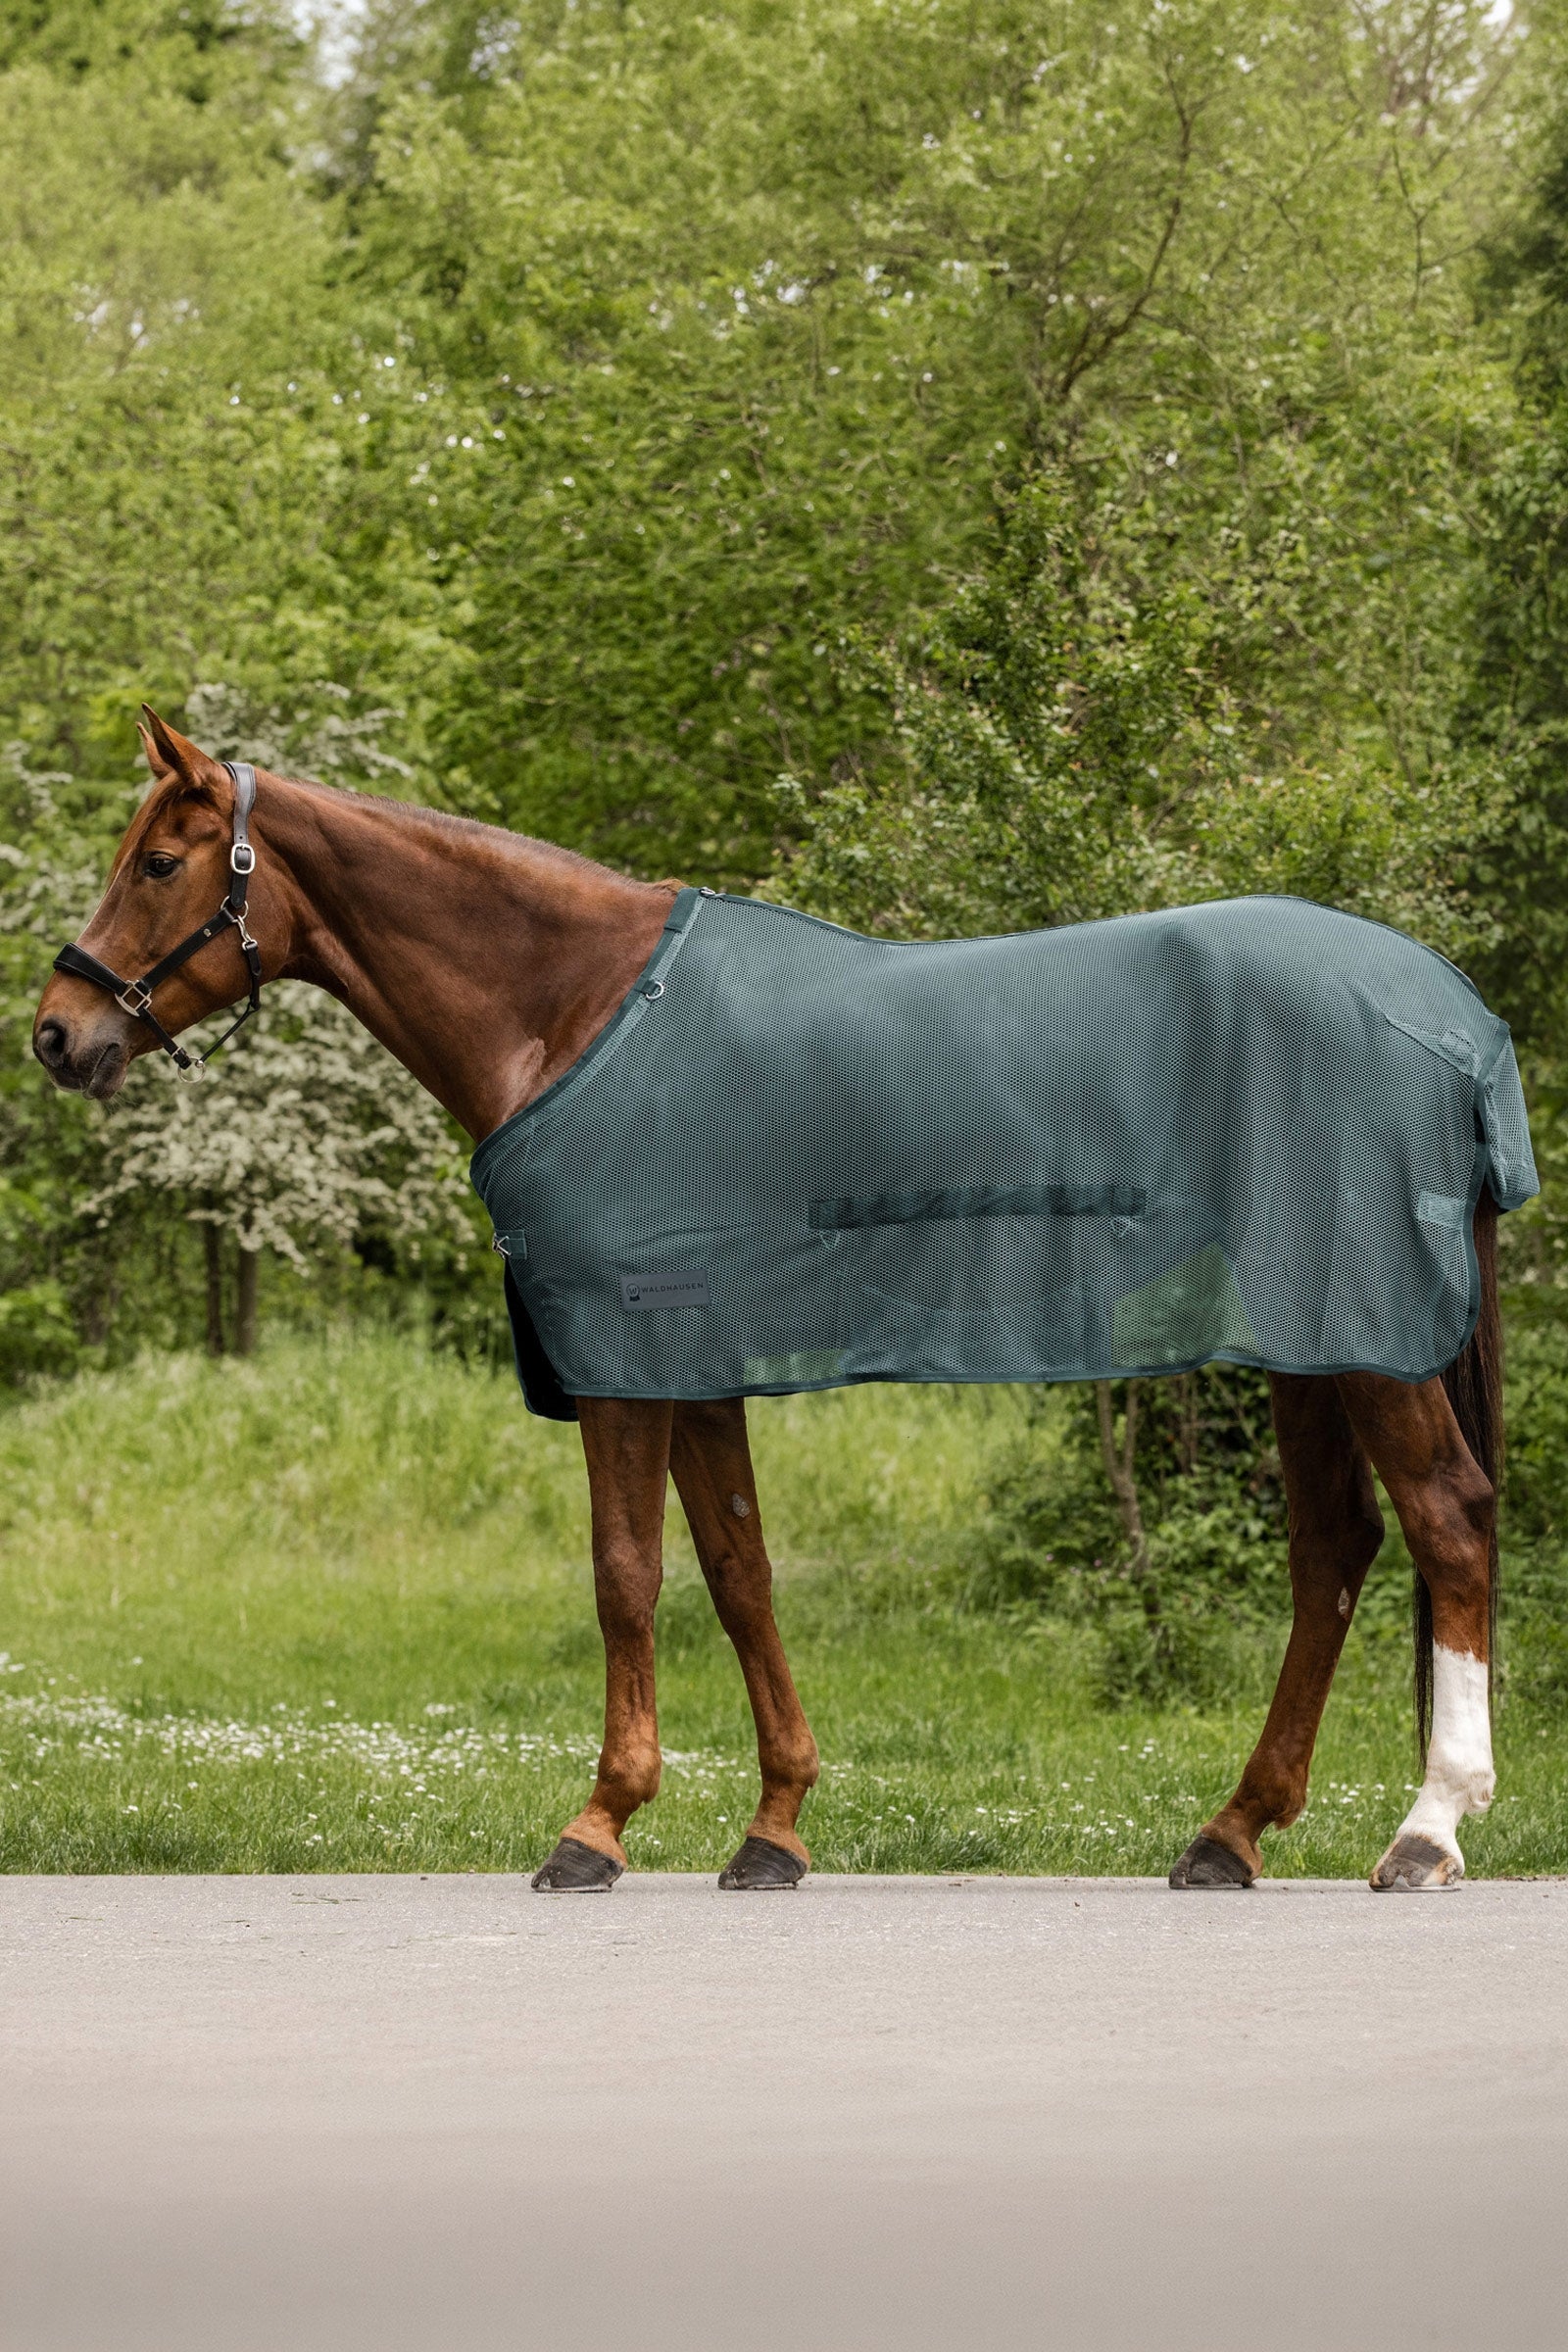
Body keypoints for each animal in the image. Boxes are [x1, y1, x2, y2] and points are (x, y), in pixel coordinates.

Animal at [33, 710, 1508, 1895]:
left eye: (156, 863)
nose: (57, 1031)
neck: (576, 1009)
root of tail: (1450, 1014)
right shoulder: (695, 1362)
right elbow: (739, 1576)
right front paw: (775, 1828)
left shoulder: (626, 1350)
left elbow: (626, 1575)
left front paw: (599, 1826)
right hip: (1313, 1340)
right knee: (1333, 1551)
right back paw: (1231, 1833)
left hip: (1365, 1343)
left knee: (1446, 1524)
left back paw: (1427, 1832)